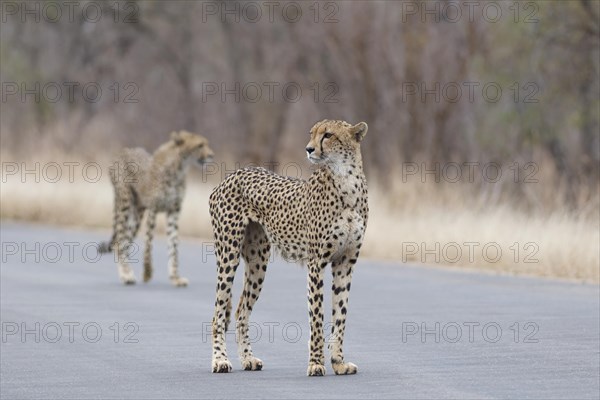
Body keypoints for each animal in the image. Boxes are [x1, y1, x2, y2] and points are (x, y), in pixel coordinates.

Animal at [100, 132, 216, 288]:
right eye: (200, 145)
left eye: (206, 144)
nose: (211, 155)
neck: (179, 167)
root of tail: (125, 150)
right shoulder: (153, 210)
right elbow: (148, 245)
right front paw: (147, 273)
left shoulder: (174, 212)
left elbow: (173, 246)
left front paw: (175, 277)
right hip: (125, 203)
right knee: (119, 241)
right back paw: (126, 275)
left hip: (138, 213)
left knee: (124, 242)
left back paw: (127, 273)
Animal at [209, 118, 368, 376]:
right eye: (312, 133)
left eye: (328, 135)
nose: (309, 149)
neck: (346, 179)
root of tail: (233, 174)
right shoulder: (316, 263)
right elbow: (317, 316)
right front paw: (316, 364)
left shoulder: (346, 262)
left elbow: (340, 316)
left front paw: (339, 362)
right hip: (228, 254)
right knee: (219, 313)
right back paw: (220, 361)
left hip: (258, 261)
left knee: (241, 311)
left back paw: (248, 359)